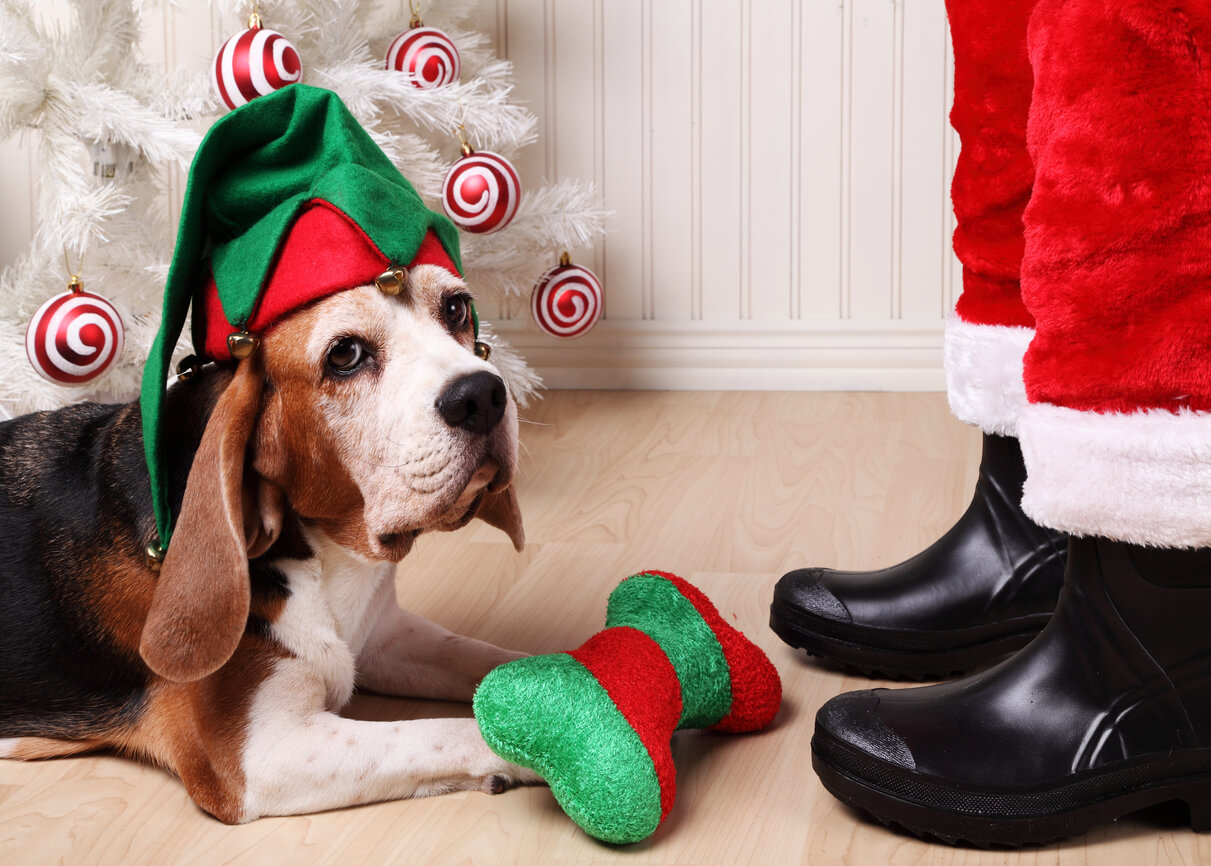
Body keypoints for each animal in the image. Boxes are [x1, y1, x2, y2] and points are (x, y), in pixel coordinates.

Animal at [0, 266, 540, 828]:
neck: (326, 557)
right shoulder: (259, 756)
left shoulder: (382, 636)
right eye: (345, 354)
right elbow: (449, 733)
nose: (483, 395)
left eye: (456, 308)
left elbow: (492, 660)